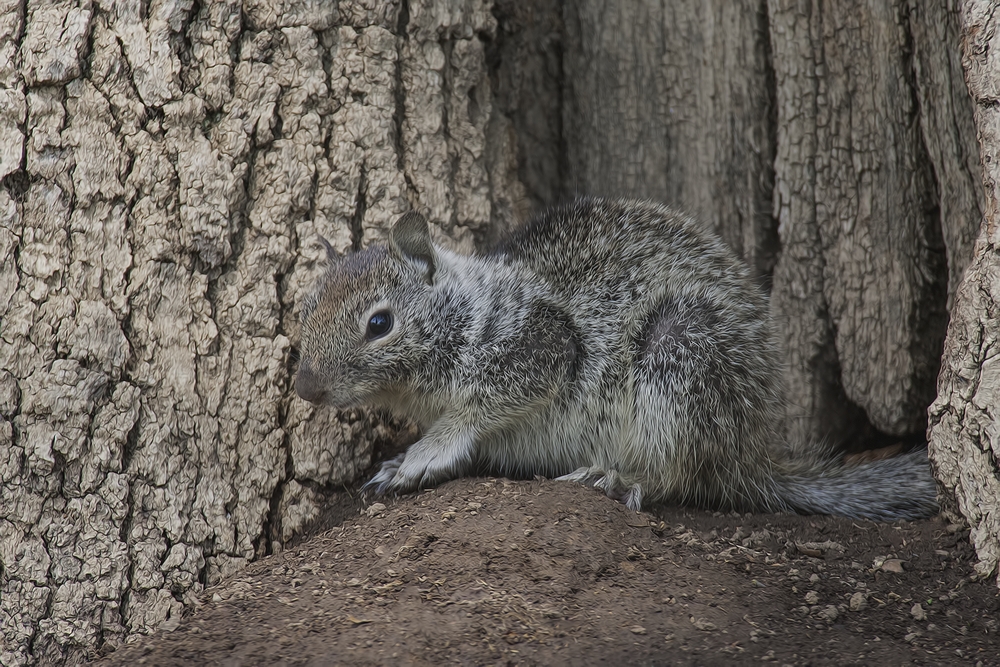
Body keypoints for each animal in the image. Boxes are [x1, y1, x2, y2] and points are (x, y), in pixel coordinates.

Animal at [294, 196, 936, 520]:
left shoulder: (538, 346)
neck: (468, 304)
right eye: (306, 308)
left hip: (678, 363)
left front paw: (424, 453)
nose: (304, 387)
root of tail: (750, 454)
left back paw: (615, 474)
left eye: (380, 323)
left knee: (678, 476)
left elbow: (480, 408)